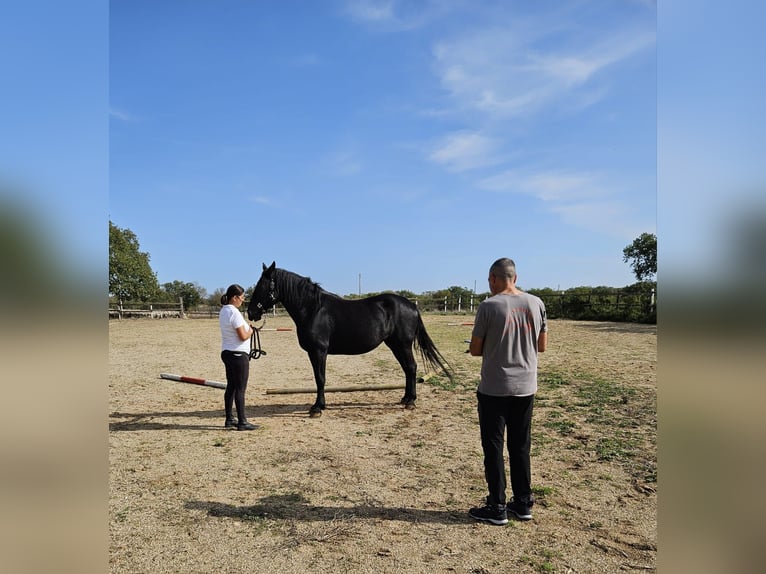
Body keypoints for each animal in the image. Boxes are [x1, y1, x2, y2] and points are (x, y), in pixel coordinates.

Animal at [246, 262, 452, 418]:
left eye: (262, 286)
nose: (251, 312)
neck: (313, 309)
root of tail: (411, 305)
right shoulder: (315, 352)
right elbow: (318, 378)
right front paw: (320, 405)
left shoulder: (318, 351)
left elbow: (320, 378)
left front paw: (317, 408)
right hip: (395, 345)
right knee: (408, 369)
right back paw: (405, 399)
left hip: (403, 344)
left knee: (411, 367)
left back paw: (410, 402)